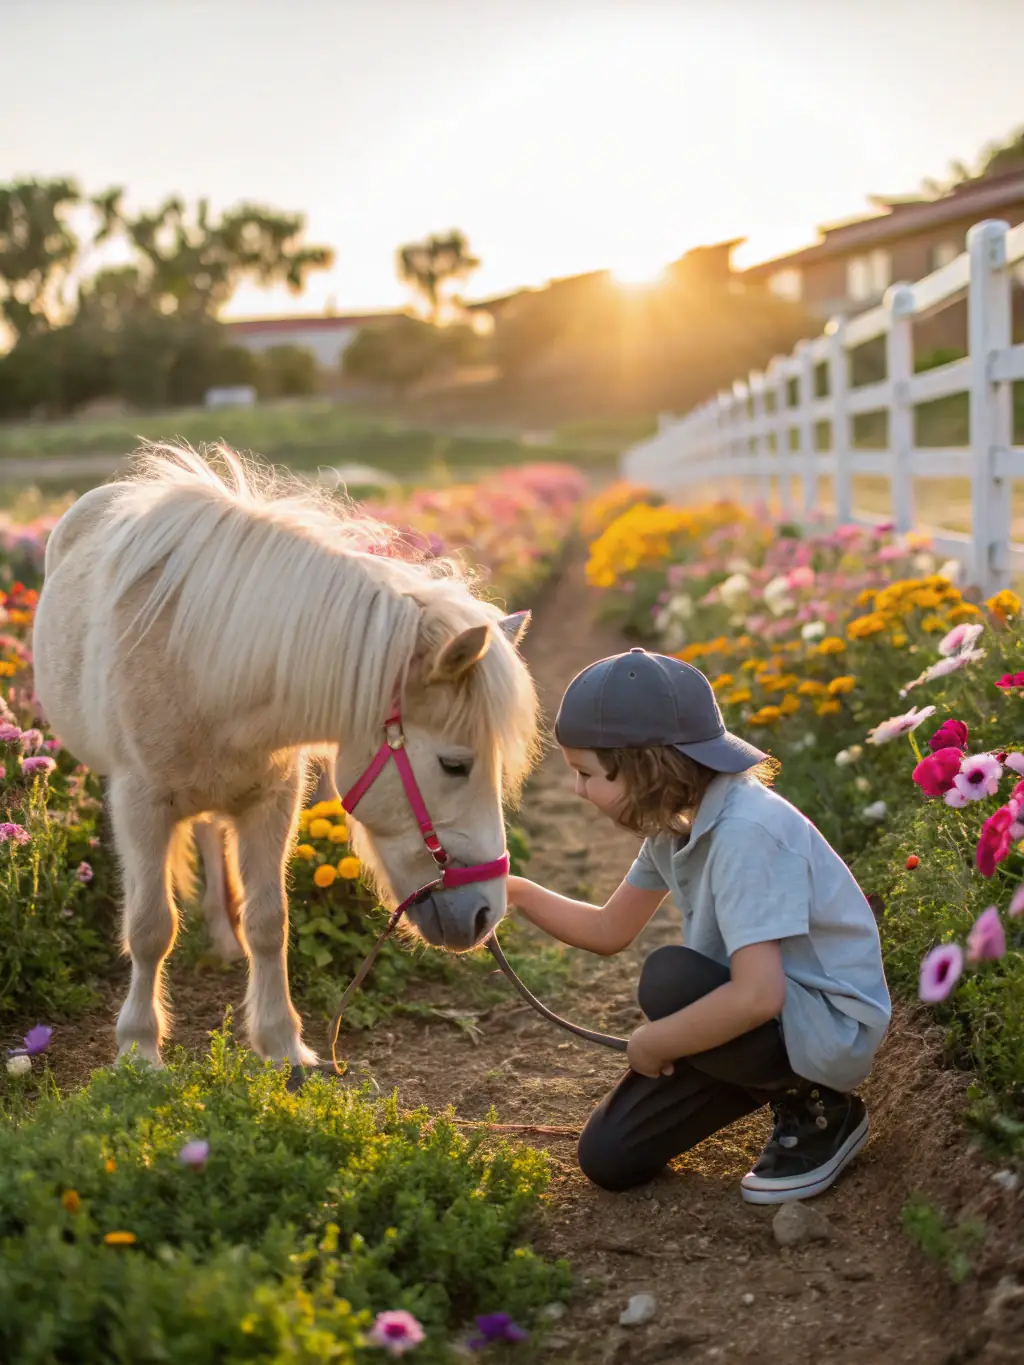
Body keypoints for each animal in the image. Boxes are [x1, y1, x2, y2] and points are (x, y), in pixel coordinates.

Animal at [33, 444, 538, 1067]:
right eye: (455, 765)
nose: (486, 915)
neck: (203, 664)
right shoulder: (140, 804)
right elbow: (151, 927)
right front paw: (139, 1049)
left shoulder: (271, 800)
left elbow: (269, 921)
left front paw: (281, 1044)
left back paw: (223, 938)